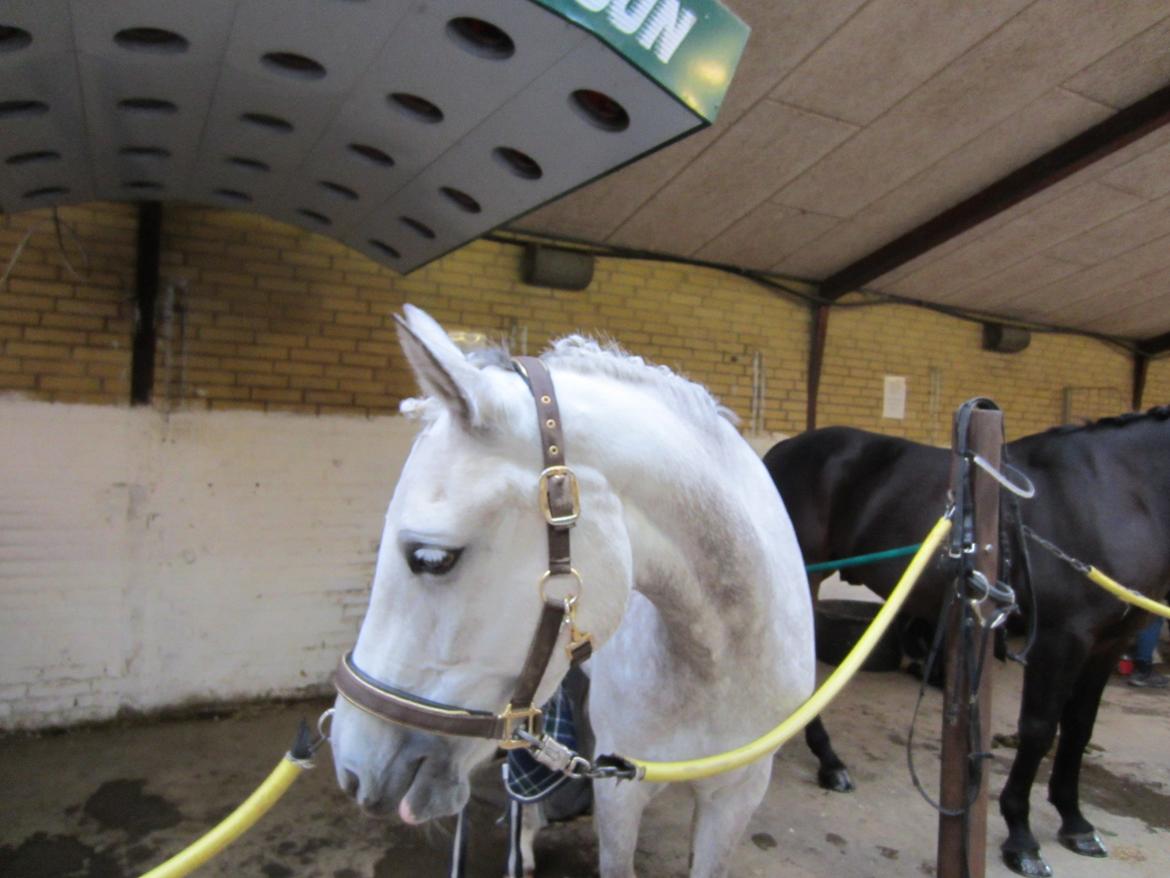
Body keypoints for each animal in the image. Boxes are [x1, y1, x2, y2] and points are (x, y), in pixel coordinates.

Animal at [762, 414, 1170, 878]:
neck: (1116, 490)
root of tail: (783, 450)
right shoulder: (1059, 641)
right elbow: (1039, 731)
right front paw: (1021, 838)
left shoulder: (1107, 646)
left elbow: (1079, 729)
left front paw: (1076, 823)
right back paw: (827, 761)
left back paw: (826, 761)